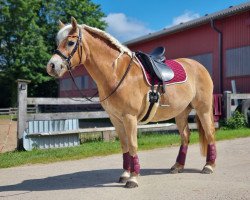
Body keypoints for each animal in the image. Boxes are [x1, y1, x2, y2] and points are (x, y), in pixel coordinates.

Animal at [46, 18, 217, 188]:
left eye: (70, 42)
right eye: (58, 42)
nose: (52, 66)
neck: (117, 73)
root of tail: (199, 66)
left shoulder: (129, 117)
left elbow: (133, 145)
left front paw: (133, 178)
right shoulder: (116, 119)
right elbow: (125, 145)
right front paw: (125, 174)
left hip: (203, 109)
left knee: (209, 133)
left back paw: (209, 166)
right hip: (181, 113)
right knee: (185, 136)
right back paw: (178, 166)